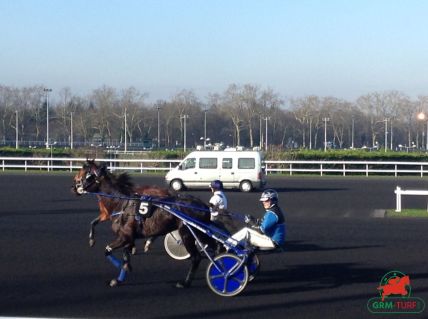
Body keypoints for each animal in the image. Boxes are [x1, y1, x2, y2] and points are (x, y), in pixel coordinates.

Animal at [73, 161, 216, 288]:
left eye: (86, 174)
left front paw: (122, 269)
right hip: (200, 233)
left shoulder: (124, 237)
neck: (120, 203)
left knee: (196, 257)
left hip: (188, 233)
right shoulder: (128, 237)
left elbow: (107, 250)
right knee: (214, 247)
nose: (74, 188)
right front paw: (119, 278)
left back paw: (186, 282)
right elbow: (125, 255)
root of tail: (204, 205)